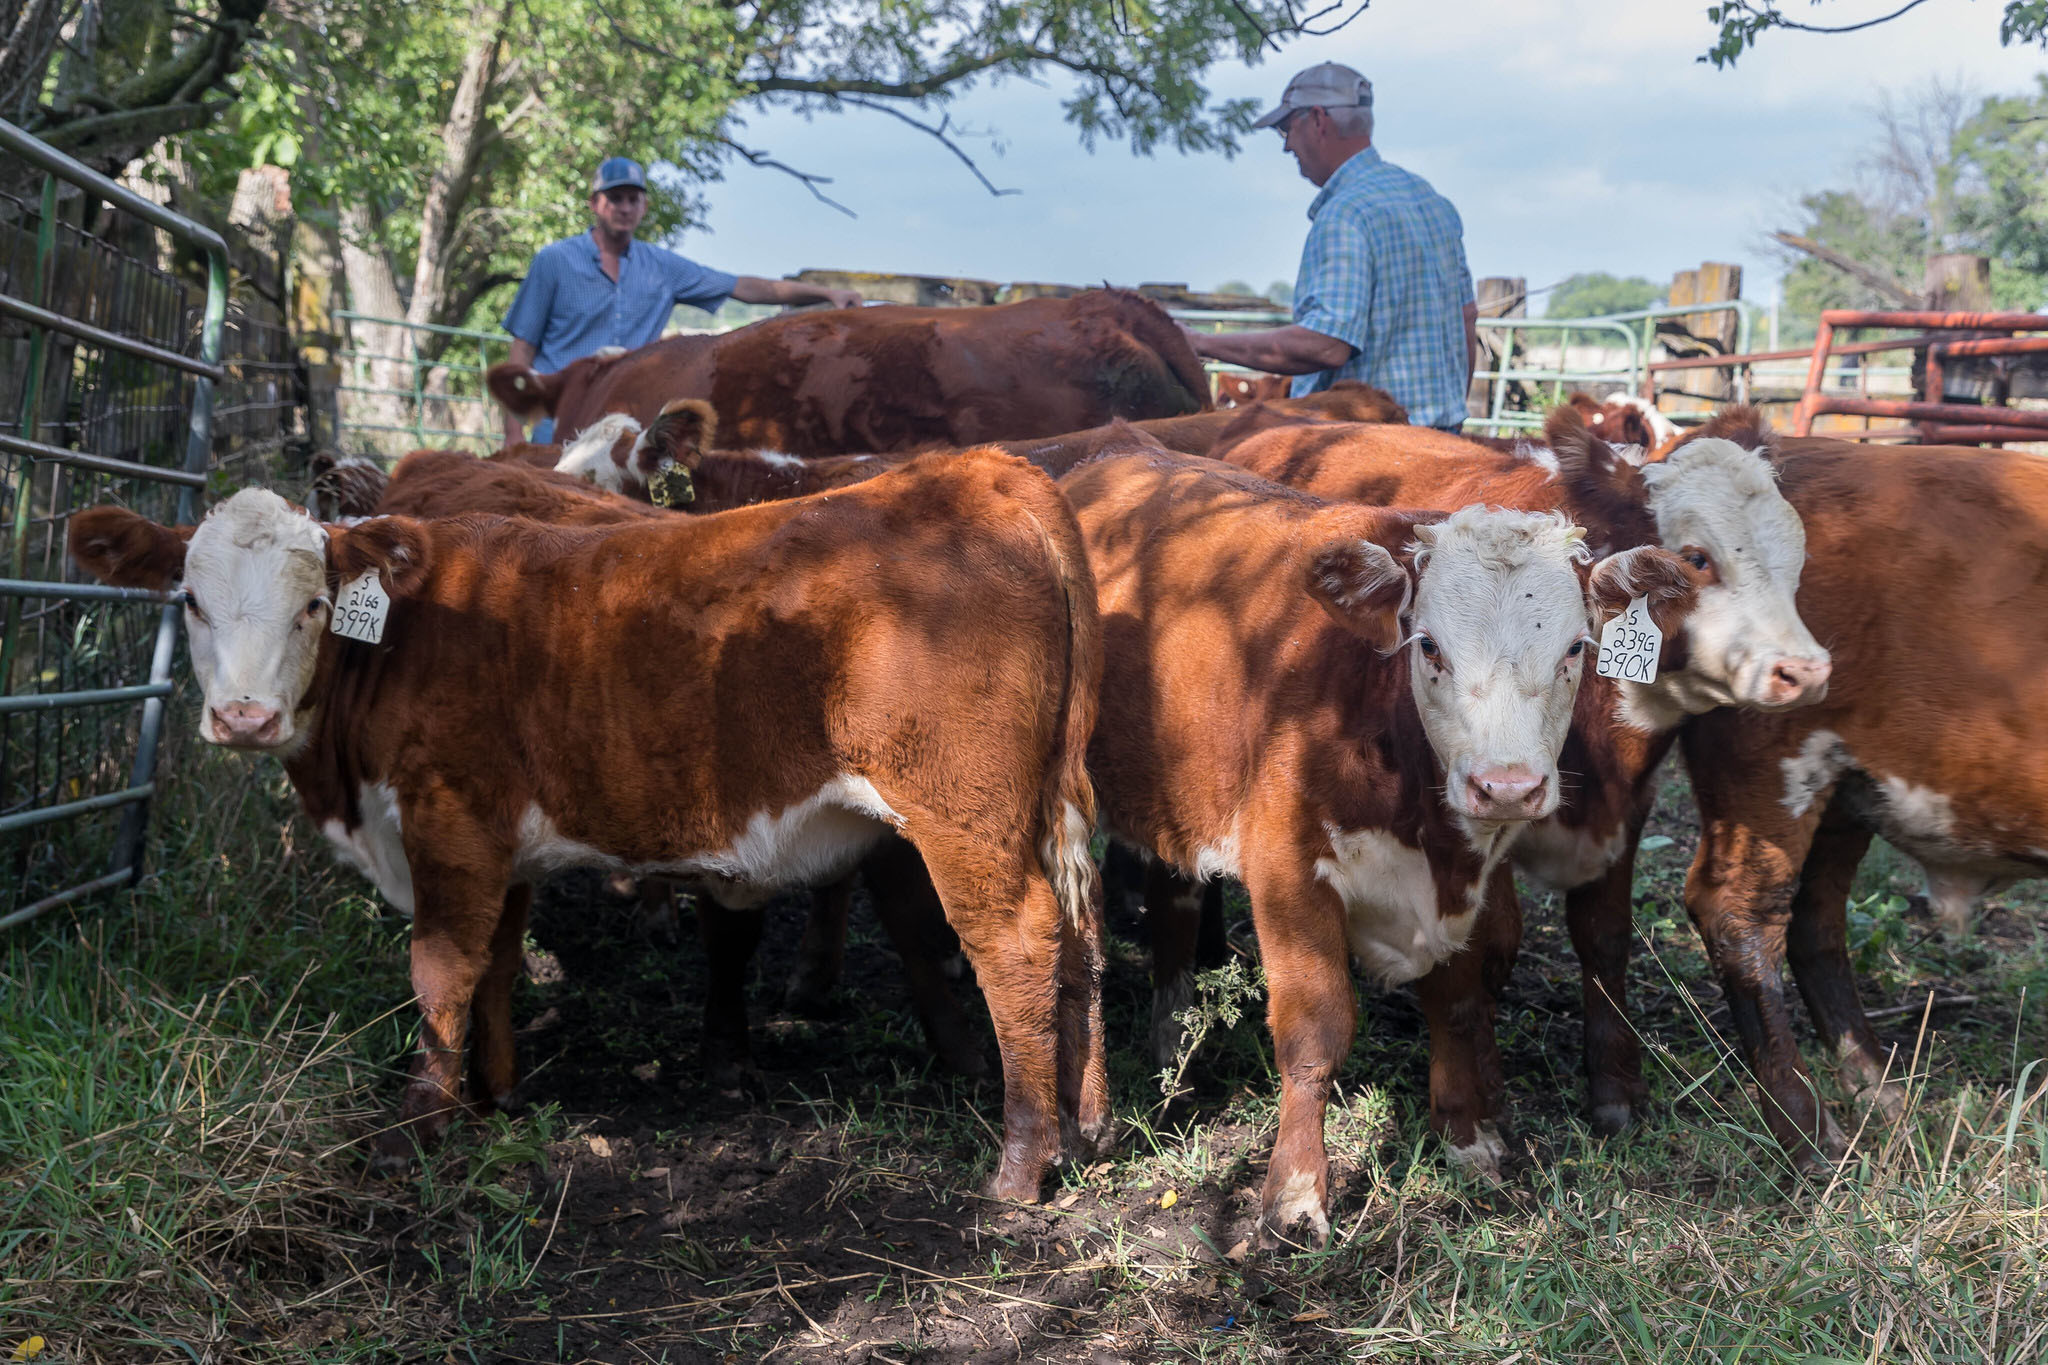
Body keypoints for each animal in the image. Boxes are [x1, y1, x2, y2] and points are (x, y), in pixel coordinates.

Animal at [64, 454, 1114, 1203]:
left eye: (315, 603)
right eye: (190, 600)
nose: (243, 717)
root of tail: (984, 469)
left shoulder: (448, 823)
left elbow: (440, 969)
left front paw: (415, 1128)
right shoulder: (500, 846)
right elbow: (493, 965)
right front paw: (493, 1092)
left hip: (963, 817)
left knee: (1019, 943)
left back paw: (1020, 1165)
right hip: (1041, 812)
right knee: (1081, 944)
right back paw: (1085, 1125)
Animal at [1064, 446, 1687, 1252]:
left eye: (1576, 647)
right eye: (1430, 646)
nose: (1506, 785)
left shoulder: (1470, 881)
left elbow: (1457, 1004)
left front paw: (1467, 1140)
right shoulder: (1288, 871)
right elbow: (1316, 1029)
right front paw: (1295, 1196)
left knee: (1175, 898)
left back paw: (1174, 1049)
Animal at [1212, 411, 1843, 1137]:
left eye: (1796, 555)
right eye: (1698, 558)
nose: (1805, 671)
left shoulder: (1624, 814)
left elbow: (1604, 938)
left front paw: (1615, 1086)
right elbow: (1493, 946)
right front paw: (1483, 1096)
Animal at [1662, 405, 2048, 1162]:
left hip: (1845, 786)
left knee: (1814, 918)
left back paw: (1875, 1083)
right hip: (1773, 764)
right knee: (1739, 911)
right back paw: (1804, 1125)